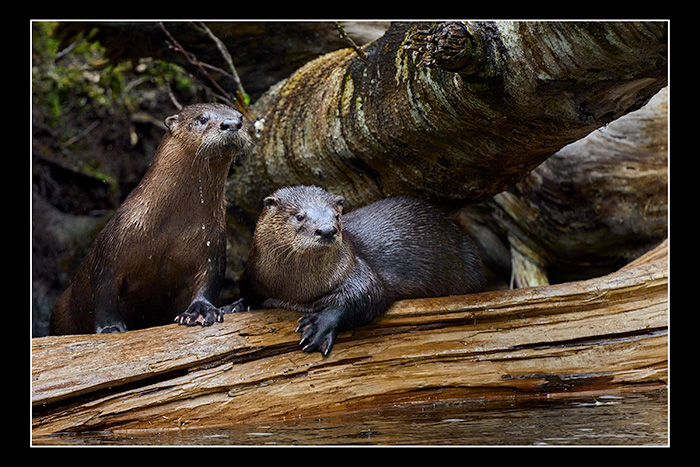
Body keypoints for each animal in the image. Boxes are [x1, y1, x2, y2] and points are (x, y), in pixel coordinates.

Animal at [50, 103, 251, 335]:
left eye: (240, 117)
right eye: (202, 119)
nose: (232, 124)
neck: (171, 227)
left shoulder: (212, 243)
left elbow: (209, 281)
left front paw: (200, 311)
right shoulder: (112, 248)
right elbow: (102, 293)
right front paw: (110, 327)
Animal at [231, 185, 485, 355]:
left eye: (336, 216)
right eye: (299, 216)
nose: (327, 230)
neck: (293, 290)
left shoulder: (357, 268)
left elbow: (370, 293)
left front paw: (319, 326)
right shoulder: (252, 273)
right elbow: (248, 292)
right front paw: (237, 306)